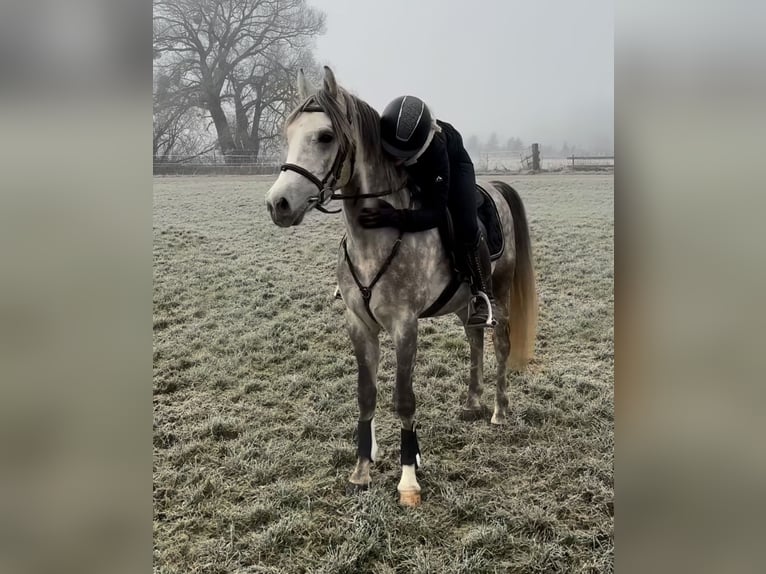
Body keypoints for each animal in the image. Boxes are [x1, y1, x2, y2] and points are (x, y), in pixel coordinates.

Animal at [268, 67, 536, 508]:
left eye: (324, 136)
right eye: (287, 133)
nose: (279, 204)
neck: (374, 238)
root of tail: (496, 188)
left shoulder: (404, 326)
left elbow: (403, 399)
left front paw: (408, 477)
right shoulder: (360, 324)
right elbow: (366, 395)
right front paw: (362, 469)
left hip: (498, 291)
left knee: (500, 344)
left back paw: (498, 409)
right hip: (465, 303)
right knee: (475, 339)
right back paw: (472, 403)